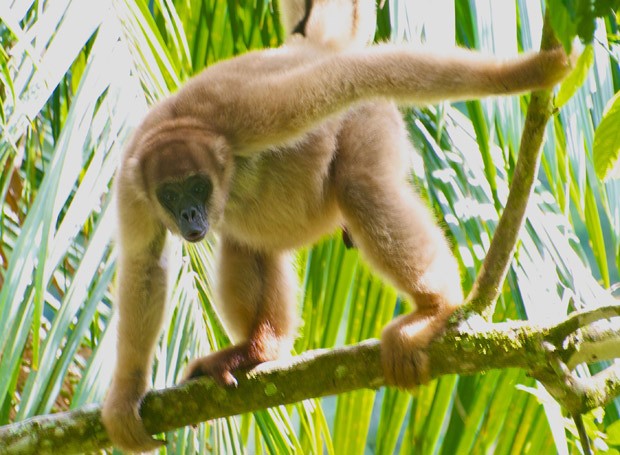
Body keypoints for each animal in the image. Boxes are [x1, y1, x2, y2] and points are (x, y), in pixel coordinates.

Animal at [101, 0, 572, 450]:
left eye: (197, 186)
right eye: (170, 195)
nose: (190, 216)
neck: (182, 123)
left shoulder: (246, 113)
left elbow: (350, 77)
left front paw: (528, 72)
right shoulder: (131, 183)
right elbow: (144, 264)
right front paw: (126, 393)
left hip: (369, 120)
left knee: (359, 182)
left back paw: (434, 308)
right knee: (247, 240)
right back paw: (259, 350)